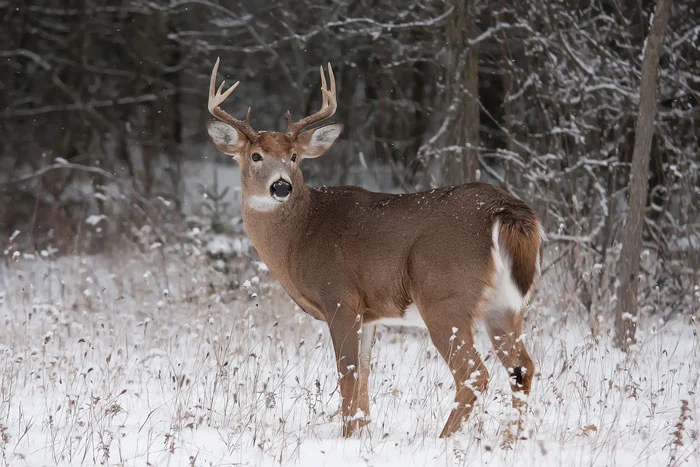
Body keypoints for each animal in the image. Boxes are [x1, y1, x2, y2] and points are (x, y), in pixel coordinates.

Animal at [205, 58, 544, 438]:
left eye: (294, 156)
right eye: (255, 155)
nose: (281, 186)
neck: (301, 235)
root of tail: (504, 210)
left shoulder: (339, 298)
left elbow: (348, 375)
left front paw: (345, 436)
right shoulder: (368, 313)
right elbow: (365, 374)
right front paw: (360, 430)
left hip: (445, 297)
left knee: (473, 373)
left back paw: (444, 438)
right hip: (505, 305)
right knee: (522, 367)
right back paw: (512, 439)